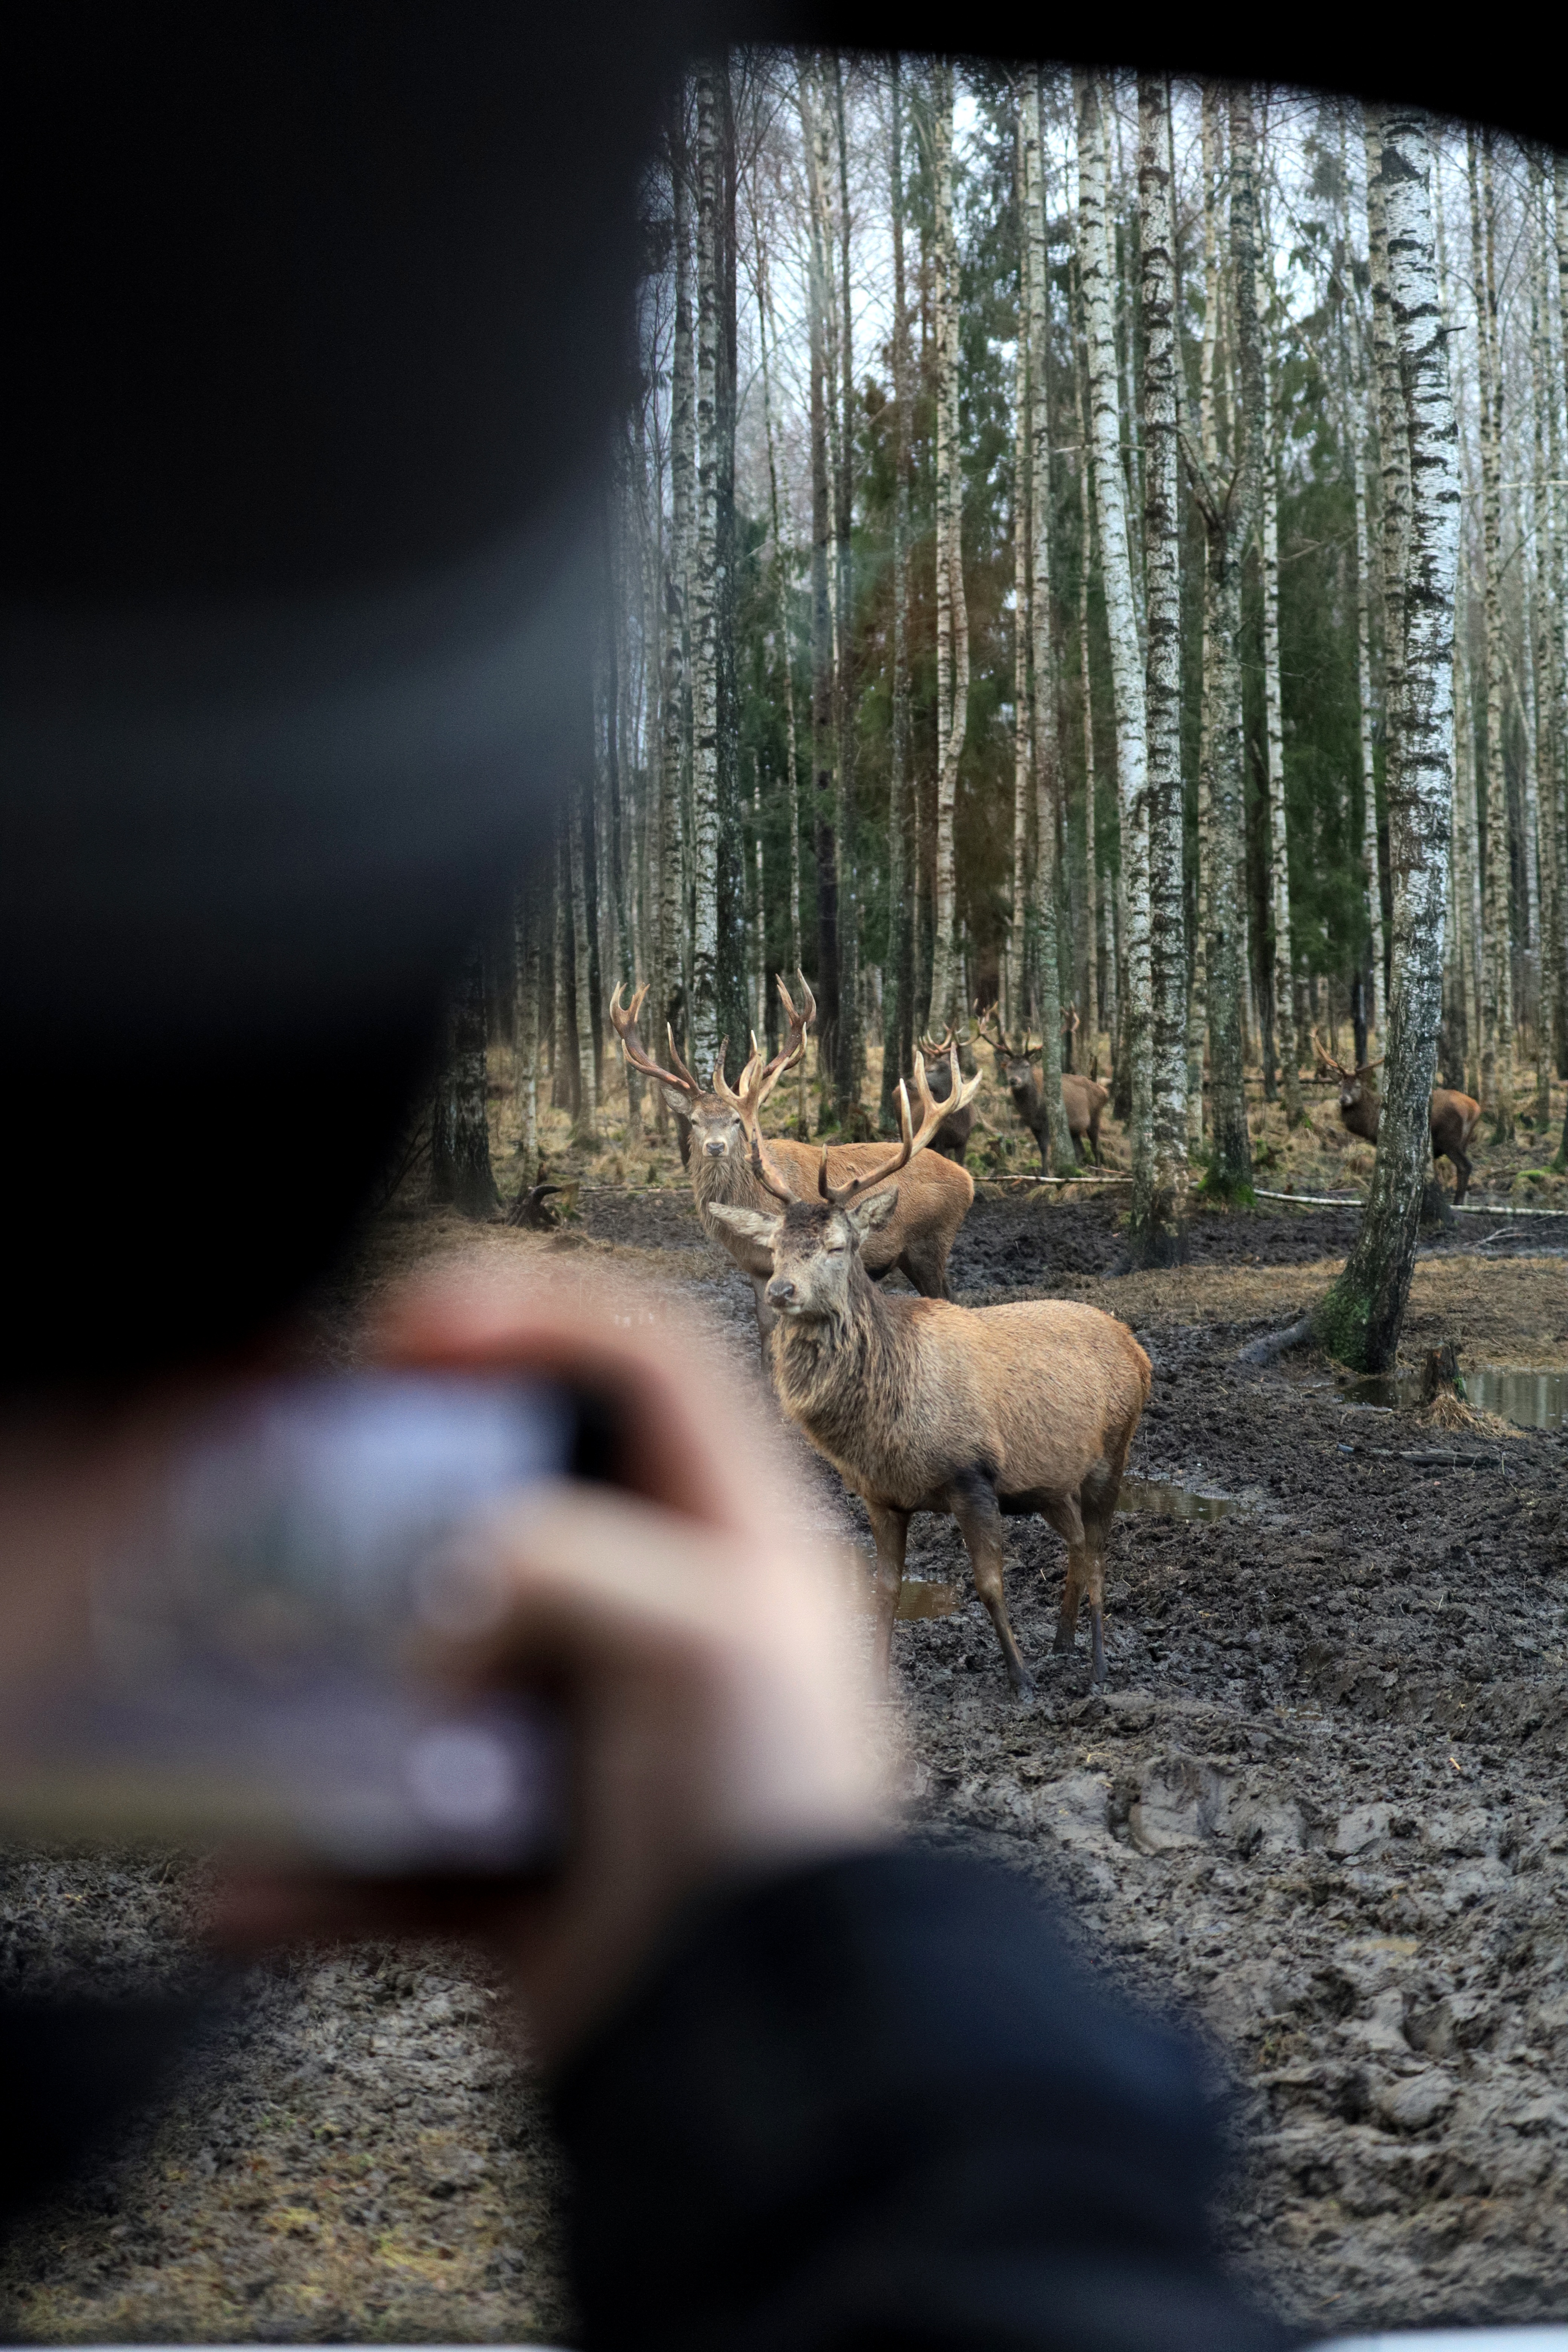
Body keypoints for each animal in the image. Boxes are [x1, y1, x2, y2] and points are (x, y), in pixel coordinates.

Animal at [611, 974, 983, 1355]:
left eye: (735, 1120)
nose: (715, 1147)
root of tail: (968, 1181)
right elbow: (764, 1333)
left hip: (930, 1244)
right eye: (695, 1120)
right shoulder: (758, 1271)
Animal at [710, 1058, 1152, 1703]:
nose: (780, 1291)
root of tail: (1137, 1348)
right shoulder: (880, 1496)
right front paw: (874, 1683)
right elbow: (884, 1590)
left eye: (838, 1246)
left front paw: (1020, 1679)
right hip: (1050, 1481)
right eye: (776, 1246)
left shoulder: (974, 1475)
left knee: (1097, 1549)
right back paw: (1062, 1642)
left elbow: (990, 1584)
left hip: (1112, 1453)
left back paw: (1095, 1664)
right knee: (1074, 1542)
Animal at [983, 1006, 1114, 1171]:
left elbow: (1046, 1149)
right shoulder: (1033, 1125)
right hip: (1074, 1128)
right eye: (1009, 1067)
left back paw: (1098, 1172)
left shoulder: (1046, 1122)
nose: (1014, 1080)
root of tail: (1105, 1092)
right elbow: (1041, 1149)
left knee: (1096, 1148)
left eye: (1027, 1066)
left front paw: (1045, 1173)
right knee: (1081, 1151)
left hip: (1096, 1116)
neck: (1032, 1108)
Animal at [1316, 1035, 1485, 1204]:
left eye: (1357, 1086)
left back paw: (1457, 1203)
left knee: (1466, 1166)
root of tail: (1474, 1108)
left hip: (1449, 1139)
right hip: (1464, 1141)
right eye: (1340, 1085)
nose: (1343, 1100)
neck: (1369, 1122)